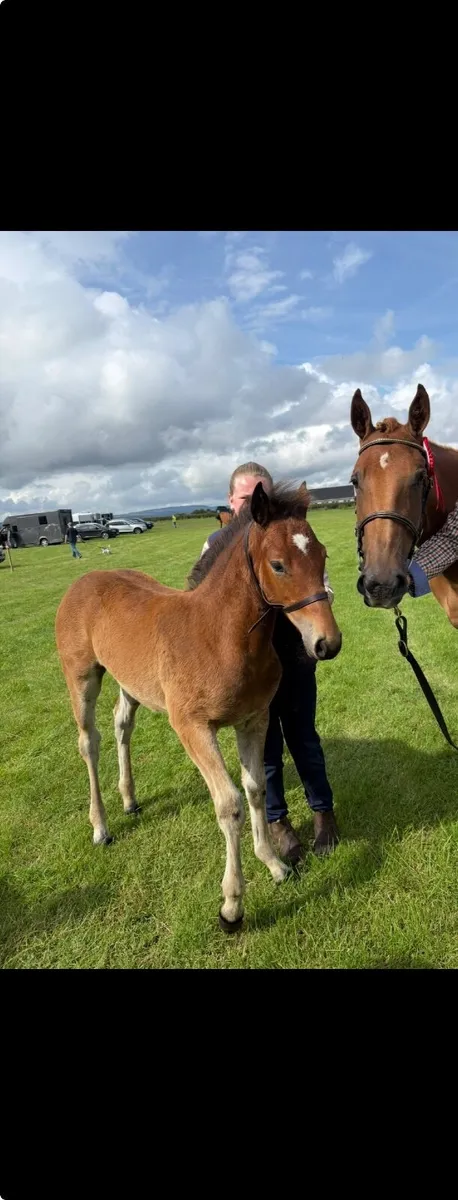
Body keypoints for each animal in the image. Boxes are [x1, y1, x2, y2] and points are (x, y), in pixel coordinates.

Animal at [55, 481, 342, 931]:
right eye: (278, 565)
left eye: (323, 555)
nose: (327, 643)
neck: (221, 636)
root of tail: (84, 580)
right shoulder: (192, 727)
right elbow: (229, 804)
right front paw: (232, 906)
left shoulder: (254, 719)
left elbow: (256, 789)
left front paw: (274, 864)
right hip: (82, 677)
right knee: (89, 742)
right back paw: (100, 827)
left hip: (130, 682)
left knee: (122, 725)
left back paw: (129, 800)